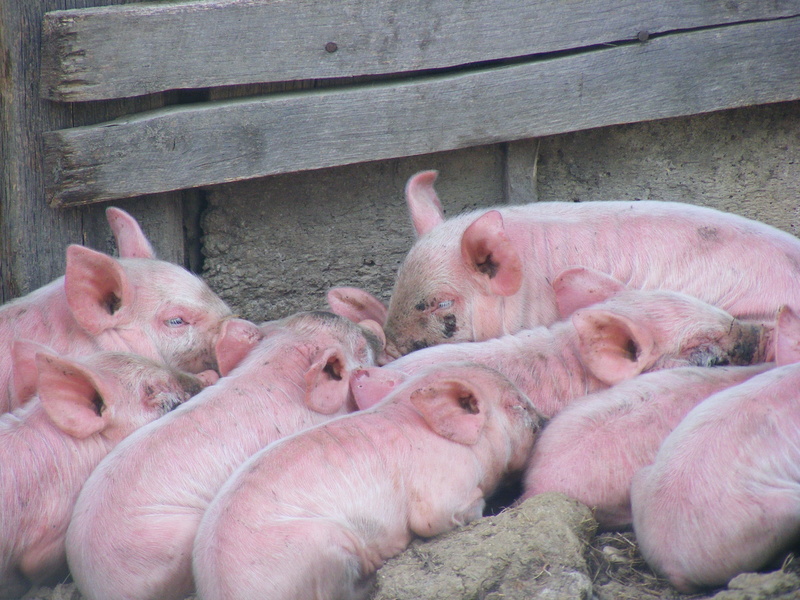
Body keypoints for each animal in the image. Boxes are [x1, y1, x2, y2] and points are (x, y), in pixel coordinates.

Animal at [192, 362, 542, 600]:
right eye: (517, 404)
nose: (543, 419)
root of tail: (221, 590)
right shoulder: (443, 485)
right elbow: (437, 519)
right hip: (324, 548)